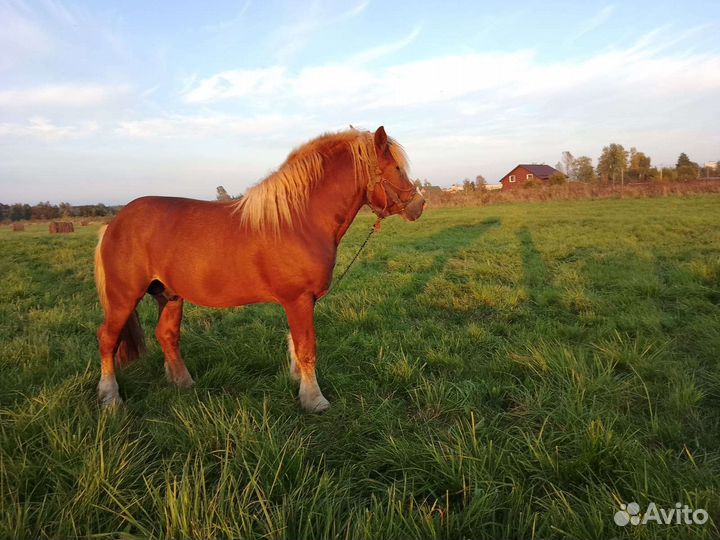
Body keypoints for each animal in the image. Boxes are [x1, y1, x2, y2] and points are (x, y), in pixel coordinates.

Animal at [94, 126, 425, 412]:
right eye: (396, 168)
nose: (419, 205)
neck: (300, 219)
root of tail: (115, 223)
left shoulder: (303, 301)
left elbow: (296, 345)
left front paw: (300, 384)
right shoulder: (298, 299)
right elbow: (307, 348)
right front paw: (314, 400)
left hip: (170, 296)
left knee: (167, 335)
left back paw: (183, 383)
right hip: (124, 297)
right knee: (108, 338)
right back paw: (111, 398)